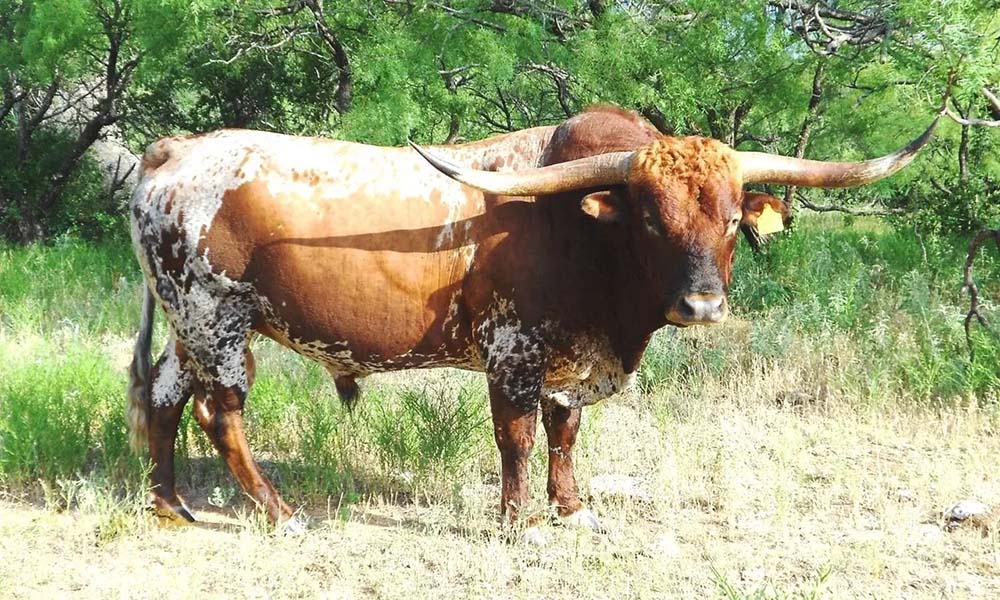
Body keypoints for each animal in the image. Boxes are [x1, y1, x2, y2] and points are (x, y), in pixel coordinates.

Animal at [129, 104, 932, 536]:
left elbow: (563, 432)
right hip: (216, 320)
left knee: (164, 396)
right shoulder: (511, 353)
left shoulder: (569, 363)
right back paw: (279, 511)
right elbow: (516, 437)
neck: (578, 232)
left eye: (733, 218)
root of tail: (176, 151)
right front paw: (521, 521)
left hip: (187, 325)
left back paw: (169, 503)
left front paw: (571, 509)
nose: (702, 305)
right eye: (651, 218)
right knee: (219, 414)